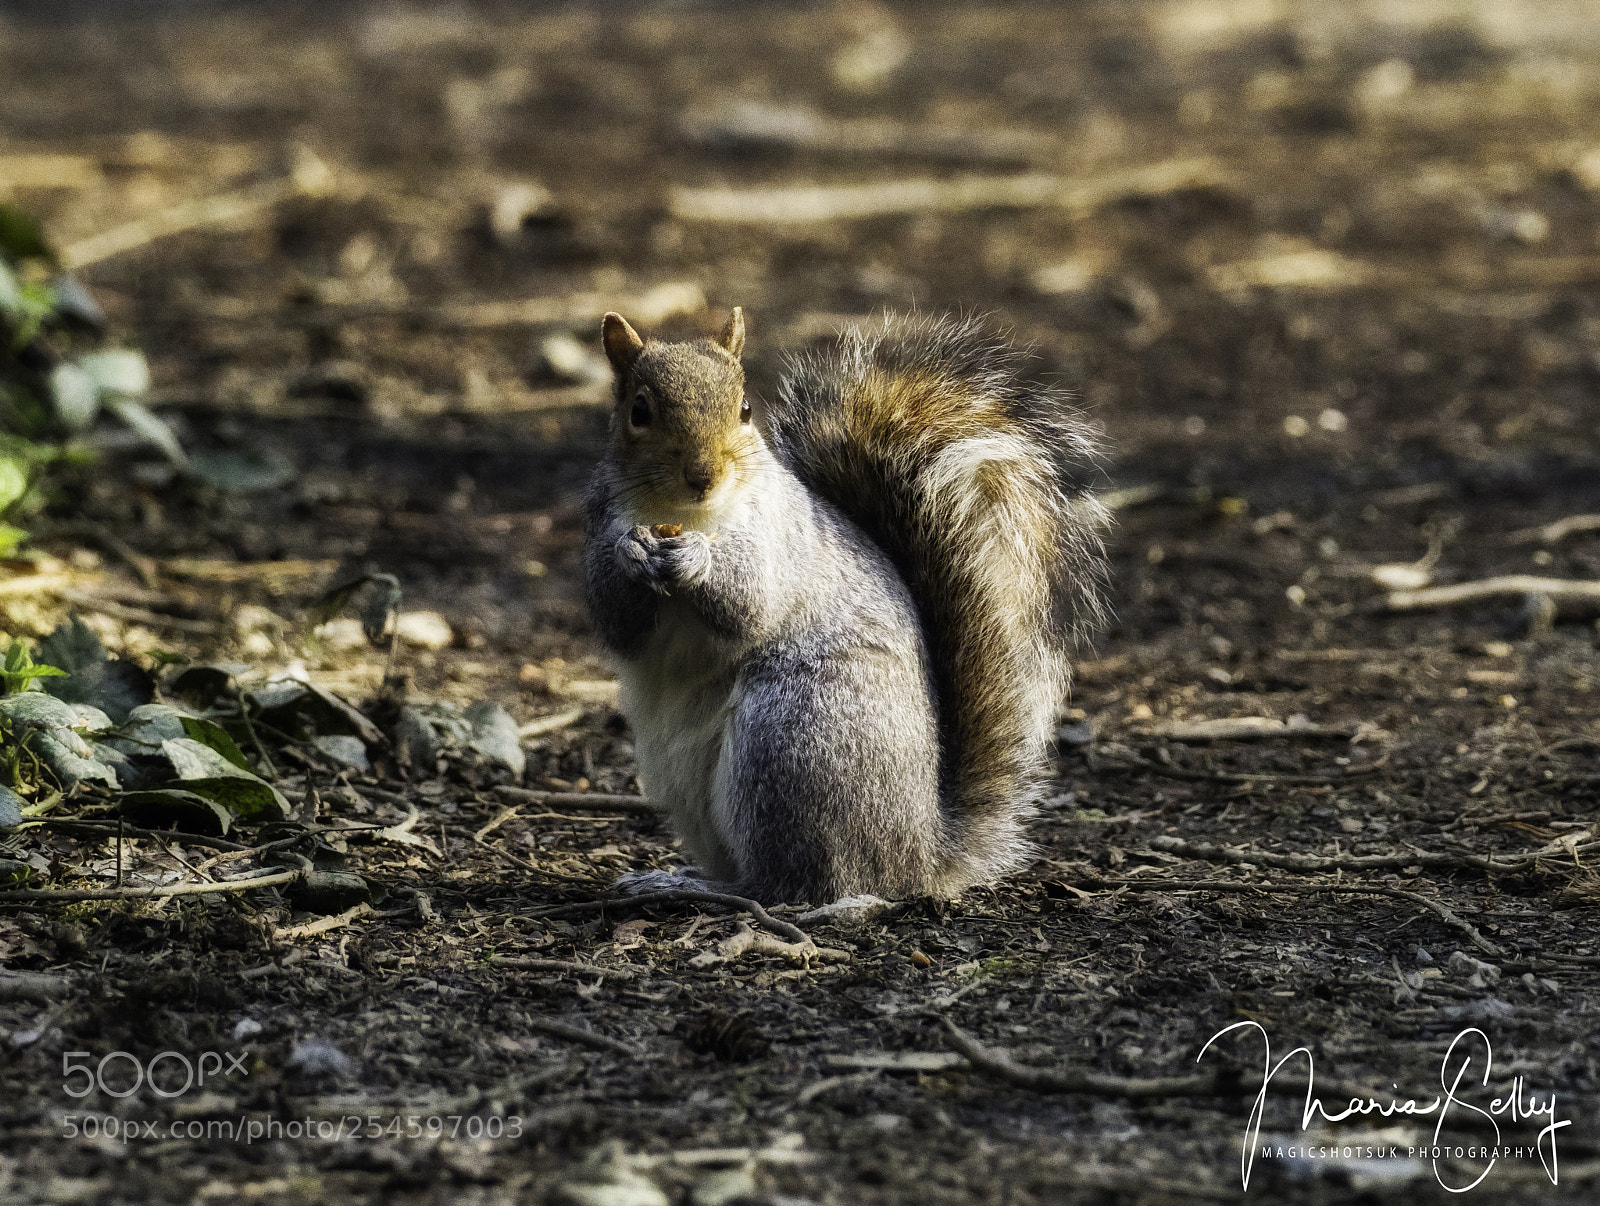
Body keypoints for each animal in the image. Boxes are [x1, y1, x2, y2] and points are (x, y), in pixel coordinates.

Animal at [584, 307, 1109, 905]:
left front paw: (699, 558)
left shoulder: (780, 537)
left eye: (745, 410)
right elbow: (617, 619)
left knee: (792, 884)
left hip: (793, 739)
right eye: (639, 411)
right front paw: (631, 551)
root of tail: (920, 854)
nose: (702, 476)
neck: (683, 513)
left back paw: (701, 887)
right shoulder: (601, 520)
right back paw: (681, 877)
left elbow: (752, 601)